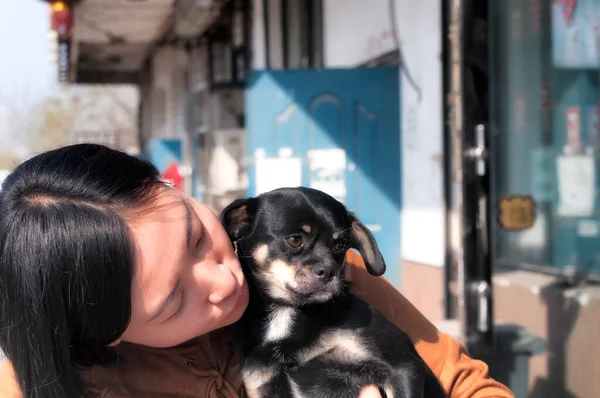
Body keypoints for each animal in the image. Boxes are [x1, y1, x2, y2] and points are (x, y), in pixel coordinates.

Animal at [220, 187, 446, 398]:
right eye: (294, 240)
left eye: (341, 244)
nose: (329, 271)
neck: (287, 310)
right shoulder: (262, 385)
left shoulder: (403, 366)